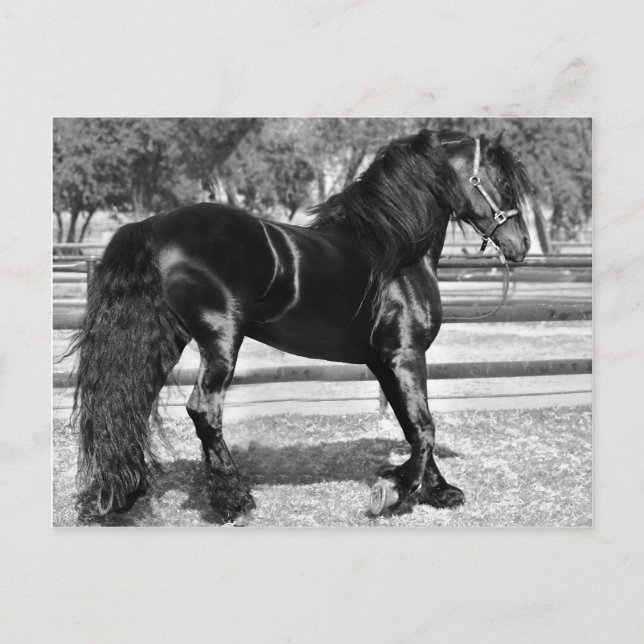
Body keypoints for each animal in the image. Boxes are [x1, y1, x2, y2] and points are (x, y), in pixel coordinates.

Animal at [70, 128, 533, 522]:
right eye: (502, 180)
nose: (522, 245)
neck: (395, 252)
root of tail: (151, 225)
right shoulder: (405, 355)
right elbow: (424, 427)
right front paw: (394, 492)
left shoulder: (383, 362)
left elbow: (410, 423)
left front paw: (438, 490)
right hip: (220, 341)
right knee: (203, 411)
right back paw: (233, 501)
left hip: (165, 341)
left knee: (130, 405)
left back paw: (122, 494)